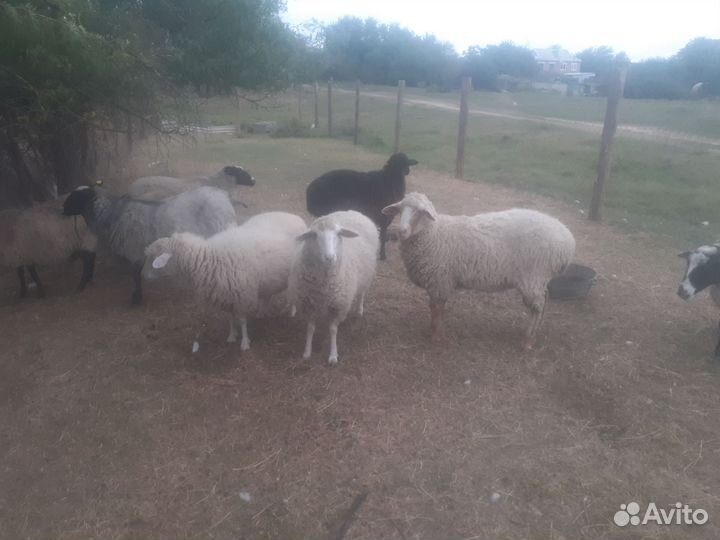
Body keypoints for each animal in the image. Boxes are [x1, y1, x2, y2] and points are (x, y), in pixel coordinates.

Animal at [63, 185, 236, 305]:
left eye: (75, 198)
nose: (63, 209)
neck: (113, 215)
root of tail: (221, 196)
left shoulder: (135, 250)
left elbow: (136, 274)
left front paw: (136, 299)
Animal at [147, 212, 306, 350]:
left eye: (160, 247)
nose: (146, 249)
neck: (208, 258)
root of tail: (296, 217)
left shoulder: (242, 295)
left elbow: (242, 321)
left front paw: (244, 343)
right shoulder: (226, 295)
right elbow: (230, 318)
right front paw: (231, 336)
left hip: (296, 272)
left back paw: (292, 310)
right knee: (267, 295)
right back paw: (262, 312)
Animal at [290, 210, 379, 365]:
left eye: (339, 233)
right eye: (314, 235)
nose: (330, 257)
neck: (323, 287)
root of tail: (352, 211)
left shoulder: (337, 306)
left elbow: (332, 330)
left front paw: (333, 355)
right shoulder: (309, 305)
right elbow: (310, 329)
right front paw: (307, 352)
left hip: (366, 276)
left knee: (361, 294)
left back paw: (359, 310)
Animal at [382, 192, 575, 349]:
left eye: (419, 212)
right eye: (400, 209)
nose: (401, 231)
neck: (434, 233)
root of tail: (568, 241)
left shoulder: (440, 280)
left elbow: (437, 309)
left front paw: (437, 336)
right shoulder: (438, 282)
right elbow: (435, 308)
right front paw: (433, 330)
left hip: (533, 277)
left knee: (537, 308)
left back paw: (528, 340)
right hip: (540, 279)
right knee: (544, 302)